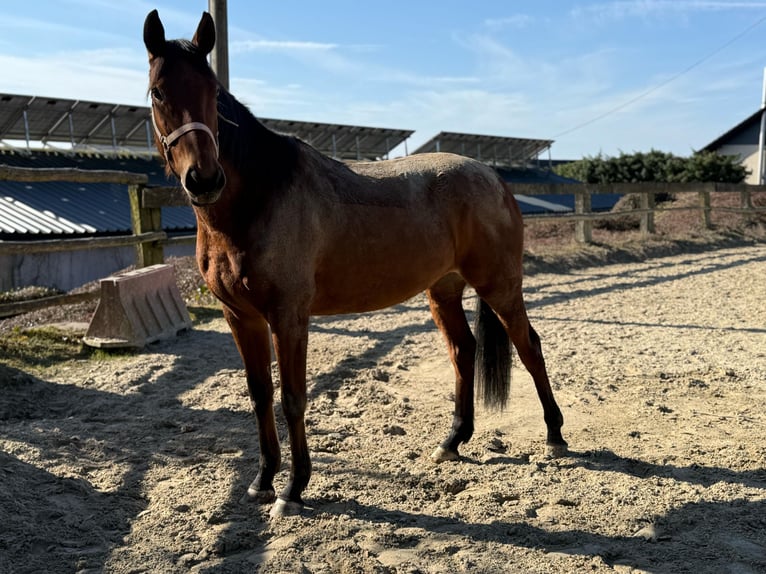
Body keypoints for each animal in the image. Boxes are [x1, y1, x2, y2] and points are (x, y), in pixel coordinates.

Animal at [144, 10, 568, 520]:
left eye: (212, 91)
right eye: (158, 91)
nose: (205, 179)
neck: (257, 198)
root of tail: (493, 177)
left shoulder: (288, 316)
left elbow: (292, 398)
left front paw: (293, 489)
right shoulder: (240, 316)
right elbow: (259, 394)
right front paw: (263, 480)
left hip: (499, 285)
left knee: (530, 347)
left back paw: (555, 435)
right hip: (443, 289)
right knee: (463, 350)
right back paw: (452, 440)